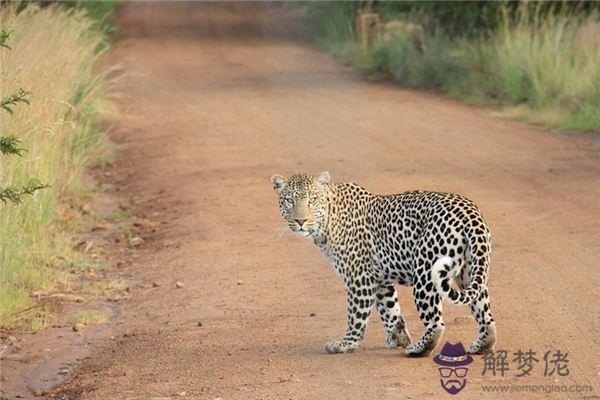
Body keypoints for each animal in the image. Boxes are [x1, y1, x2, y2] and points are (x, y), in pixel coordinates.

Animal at [272, 172, 496, 356]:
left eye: (312, 201)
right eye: (290, 201)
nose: (301, 221)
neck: (326, 222)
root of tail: (470, 213)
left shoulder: (359, 277)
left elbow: (356, 314)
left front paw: (345, 344)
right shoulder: (380, 279)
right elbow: (390, 310)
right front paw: (398, 338)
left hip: (425, 273)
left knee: (436, 323)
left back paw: (418, 349)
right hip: (470, 271)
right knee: (485, 315)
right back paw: (482, 345)